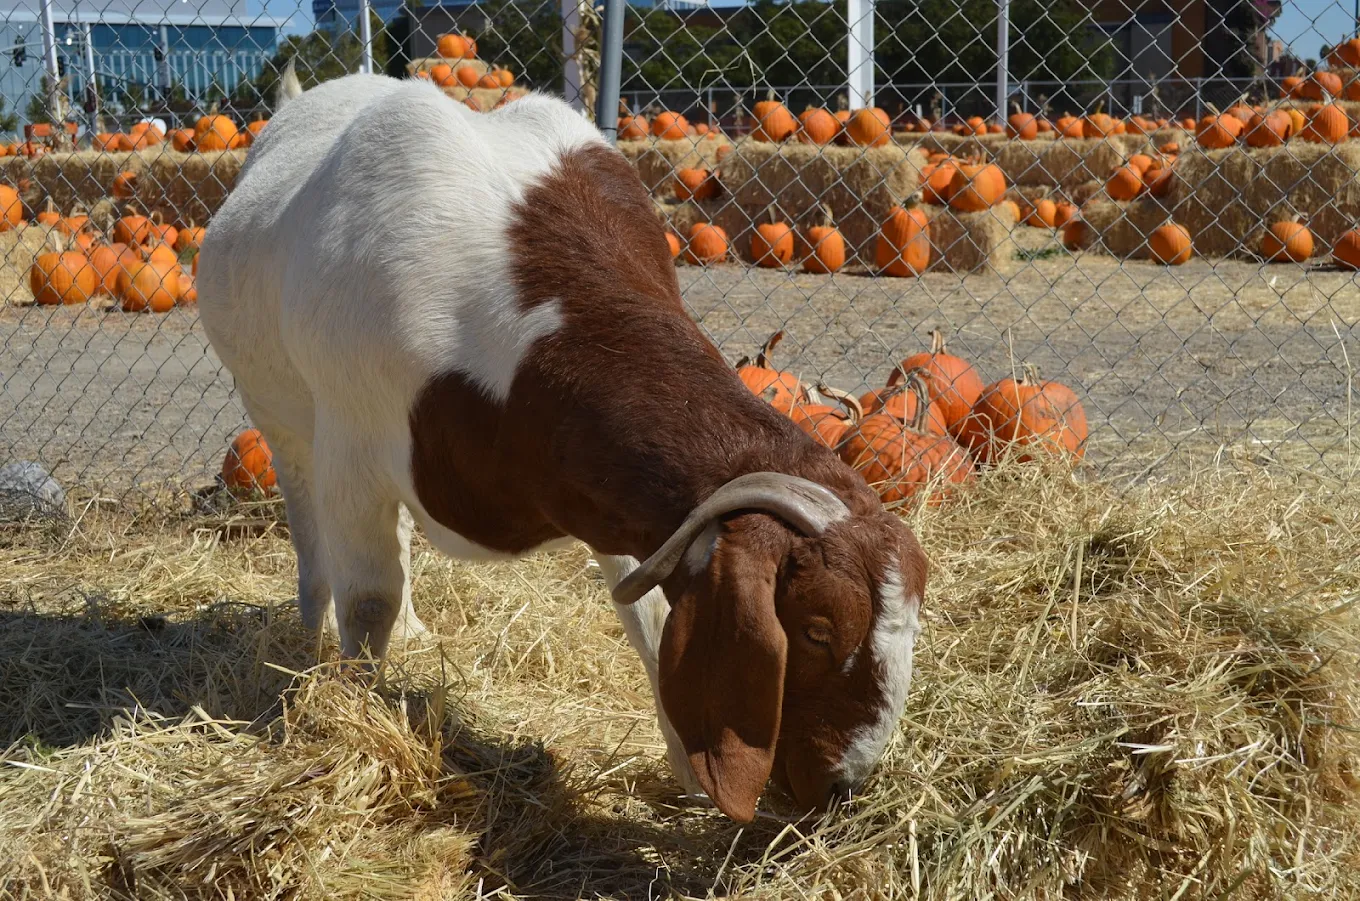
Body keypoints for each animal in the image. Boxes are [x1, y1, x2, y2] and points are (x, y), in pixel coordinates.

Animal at [197, 70, 928, 823]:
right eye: (816, 628)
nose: (845, 785)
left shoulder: (620, 503)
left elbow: (653, 614)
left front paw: (688, 776)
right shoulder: (351, 447)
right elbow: (368, 599)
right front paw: (353, 723)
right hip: (282, 421)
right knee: (313, 535)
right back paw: (311, 641)